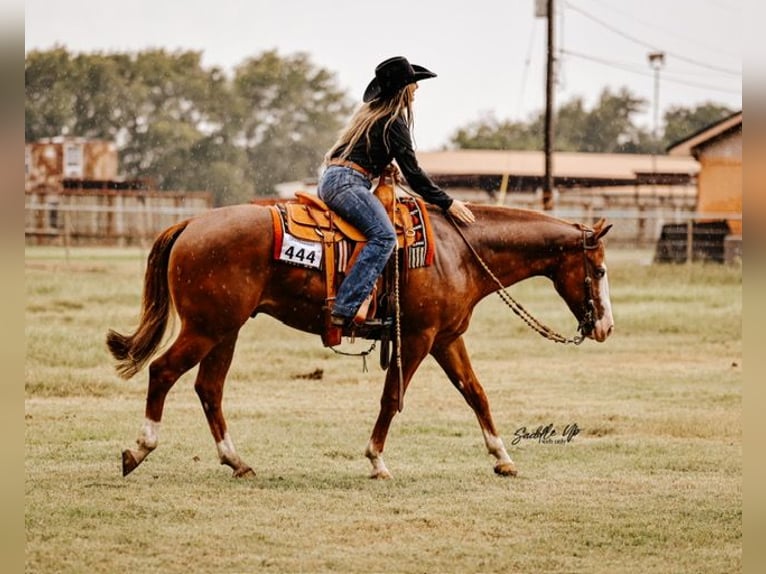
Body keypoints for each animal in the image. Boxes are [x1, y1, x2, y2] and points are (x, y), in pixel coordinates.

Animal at [106, 201, 614, 479]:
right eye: (600, 269)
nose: (606, 327)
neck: (460, 252)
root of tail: (191, 224)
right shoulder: (418, 338)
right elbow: (392, 398)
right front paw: (376, 461)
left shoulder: (447, 338)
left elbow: (476, 394)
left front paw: (503, 458)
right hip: (205, 328)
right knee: (163, 371)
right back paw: (139, 449)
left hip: (225, 330)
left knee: (208, 389)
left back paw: (237, 461)